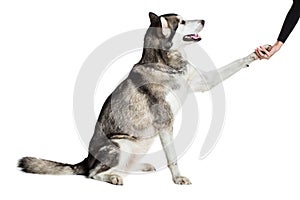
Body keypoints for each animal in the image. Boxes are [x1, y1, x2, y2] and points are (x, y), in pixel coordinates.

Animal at [17, 12, 268, 184]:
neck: (167, 66)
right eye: (181, 22)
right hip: (119, 144)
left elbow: (233, 65)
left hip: (141, 143)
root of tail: (85, 159)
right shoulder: (165, 123)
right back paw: (112, 177)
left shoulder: (204, 82)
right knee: (92, 174)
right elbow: (172, 156)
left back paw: (138, 168)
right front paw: (178, 178)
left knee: (122, 166)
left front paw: (257, 53)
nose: (204, 20)